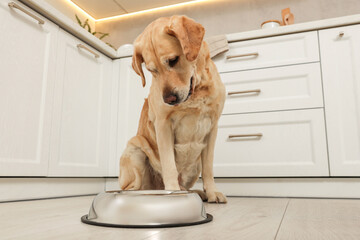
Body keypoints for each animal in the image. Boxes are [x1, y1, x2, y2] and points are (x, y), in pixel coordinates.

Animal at [119, 15, 226, 202]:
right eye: (151, 70)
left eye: (173, 60)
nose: (169, 99)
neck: (196, 92)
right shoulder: (163, 125)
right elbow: (169, 165)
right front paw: (173, 193)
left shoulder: (213, 127)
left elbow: (209, 169)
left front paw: (212, 192)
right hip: (136, 148)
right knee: (131, 188)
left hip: (195, 165)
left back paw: (197, 193)